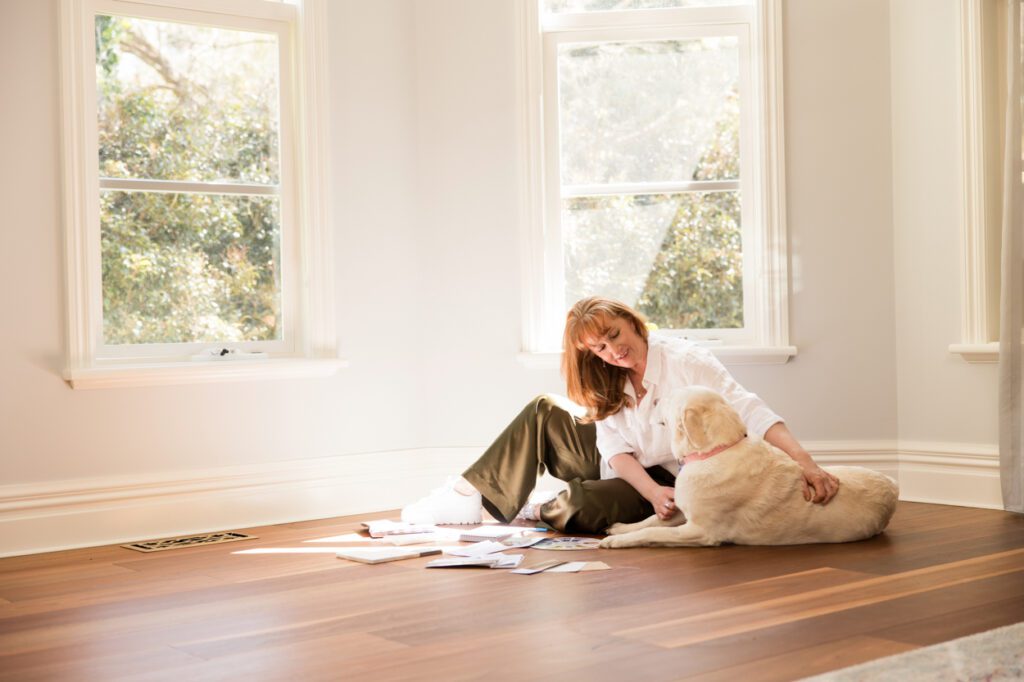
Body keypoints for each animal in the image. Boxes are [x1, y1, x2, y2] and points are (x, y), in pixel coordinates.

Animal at [598, 387, 897, 548]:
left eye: (672, 398)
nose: (656, 399)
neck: (716, 452)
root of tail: (893, 486)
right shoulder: (682, 509)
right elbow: (652, 520)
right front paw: (621, 528)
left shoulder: (700, 531)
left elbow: (653, 531)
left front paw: (617, 541)